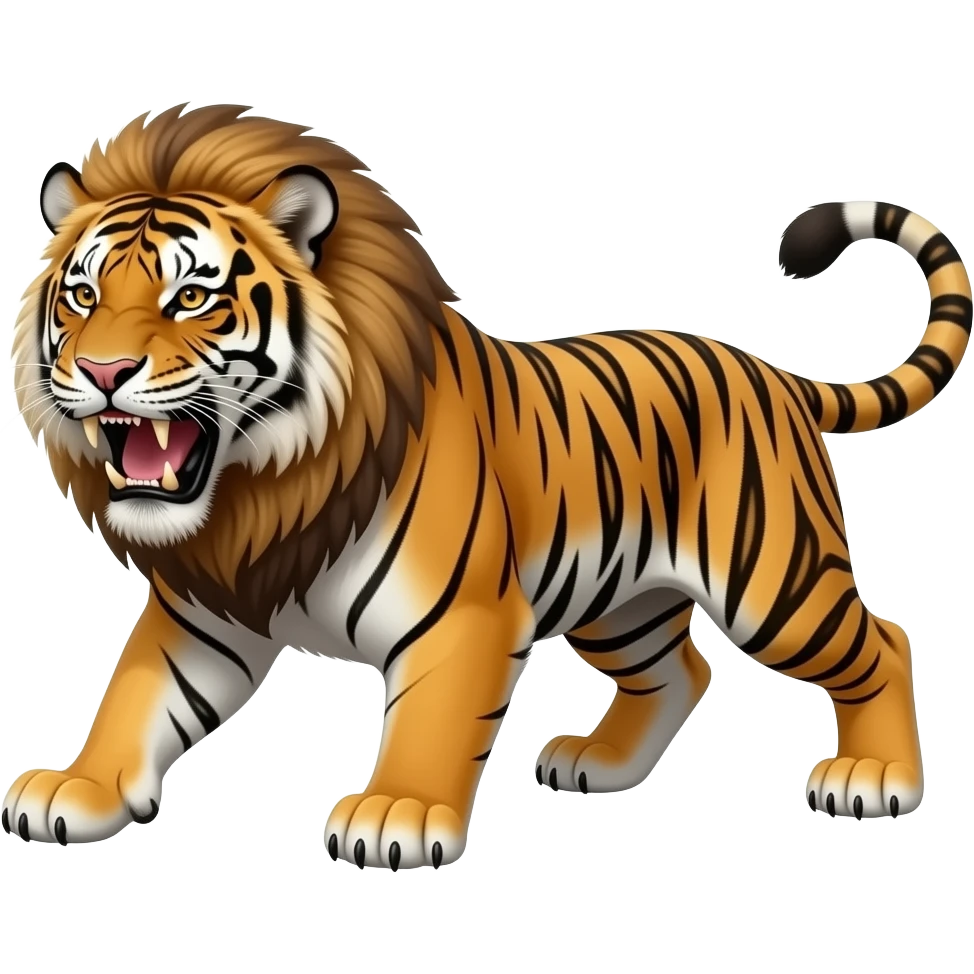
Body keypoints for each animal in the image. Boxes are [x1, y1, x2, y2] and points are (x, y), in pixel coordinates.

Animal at [4, 103, 970, 868]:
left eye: (192, 299)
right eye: (82, 296)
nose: (102, 371)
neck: (266, 488)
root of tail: (773, 371)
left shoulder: (461, 612)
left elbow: (431, 720)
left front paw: (395, 814)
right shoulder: (206, 611)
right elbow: (134, 698)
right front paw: (75, 790)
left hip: (772, 582)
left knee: (883, 642)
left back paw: (876, 778)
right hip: (620, 600)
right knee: (681, 670)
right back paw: (601, 764)